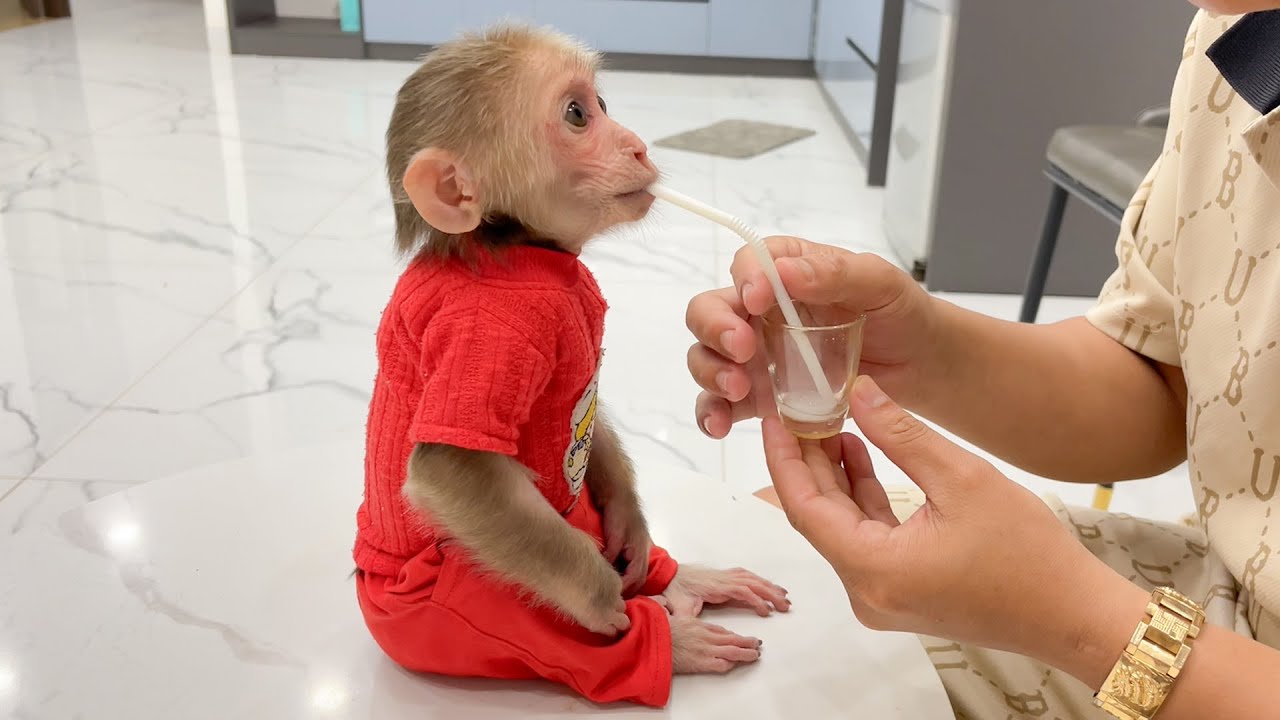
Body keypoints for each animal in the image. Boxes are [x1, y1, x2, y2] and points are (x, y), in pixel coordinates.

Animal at [351, 24, 790, 708]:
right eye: (578, 115)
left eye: (602, 104)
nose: (638, 146)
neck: (520, 248)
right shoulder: (489, 332)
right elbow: (452, 472)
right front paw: (604, 597)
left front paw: (631, 521)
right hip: (430, 606)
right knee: (520, 608)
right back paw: (664, 636)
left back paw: (678, 578)